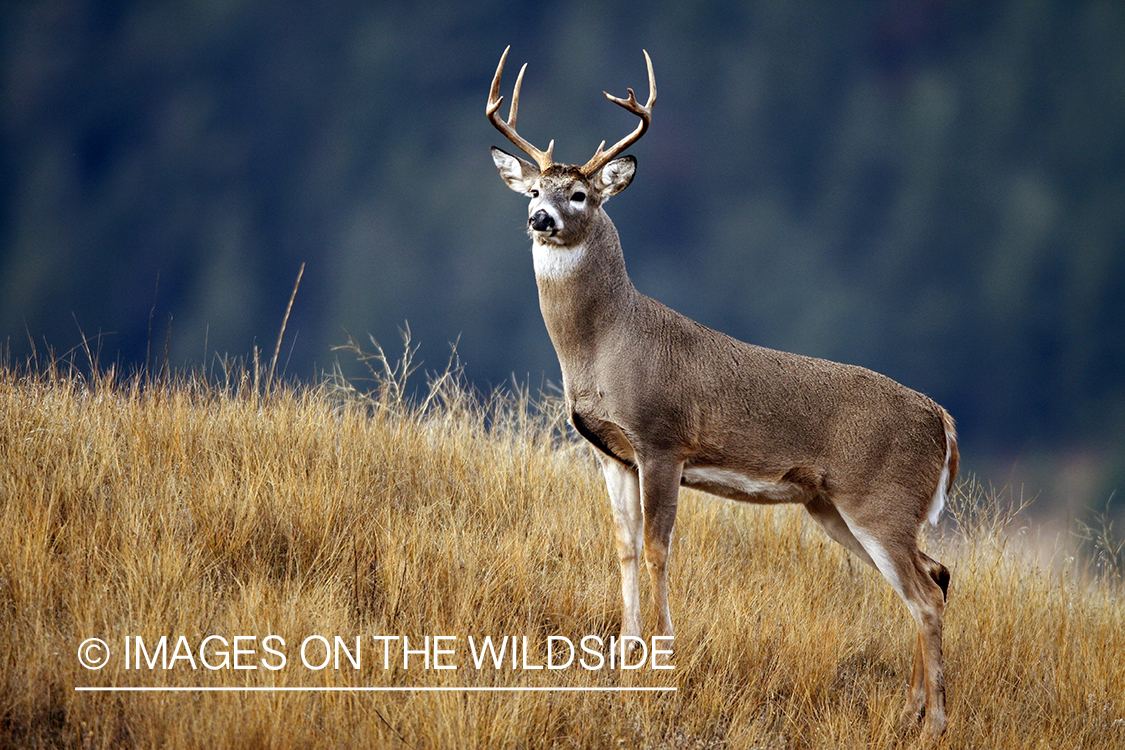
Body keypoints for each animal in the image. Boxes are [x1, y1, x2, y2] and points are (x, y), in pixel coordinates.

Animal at [486, 46, 958, 737]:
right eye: (533, 188)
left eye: (579, 193)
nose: (538, 217)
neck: (604, 345)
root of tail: (944, 423)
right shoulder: (612, 454)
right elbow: (625, 548)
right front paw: (623, 655)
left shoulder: (661, 440)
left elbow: (659, 549)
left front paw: (661, 658)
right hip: (837, 507)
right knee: (934, 576)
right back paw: (910, 709)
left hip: (882, 501)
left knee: (925, 594)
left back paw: (935, 722)